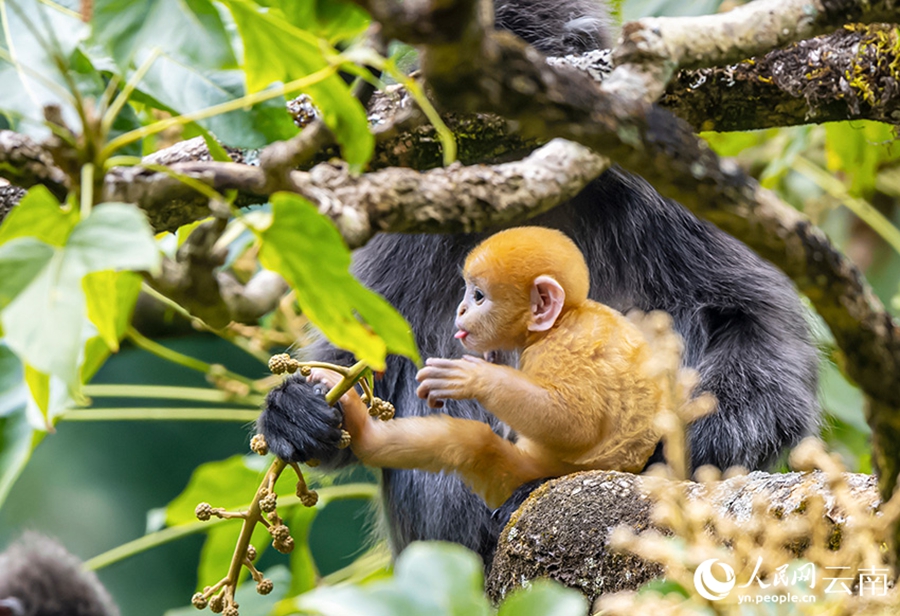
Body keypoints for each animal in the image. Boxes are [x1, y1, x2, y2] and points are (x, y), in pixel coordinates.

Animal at [307, 227, 711, 508]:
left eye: (478, 296)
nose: (461, 310)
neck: (565, 318)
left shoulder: (556, 351)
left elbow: (575, 424)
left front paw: (475, 378)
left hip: (525, 471)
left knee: (471, 443)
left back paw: (365, 436)